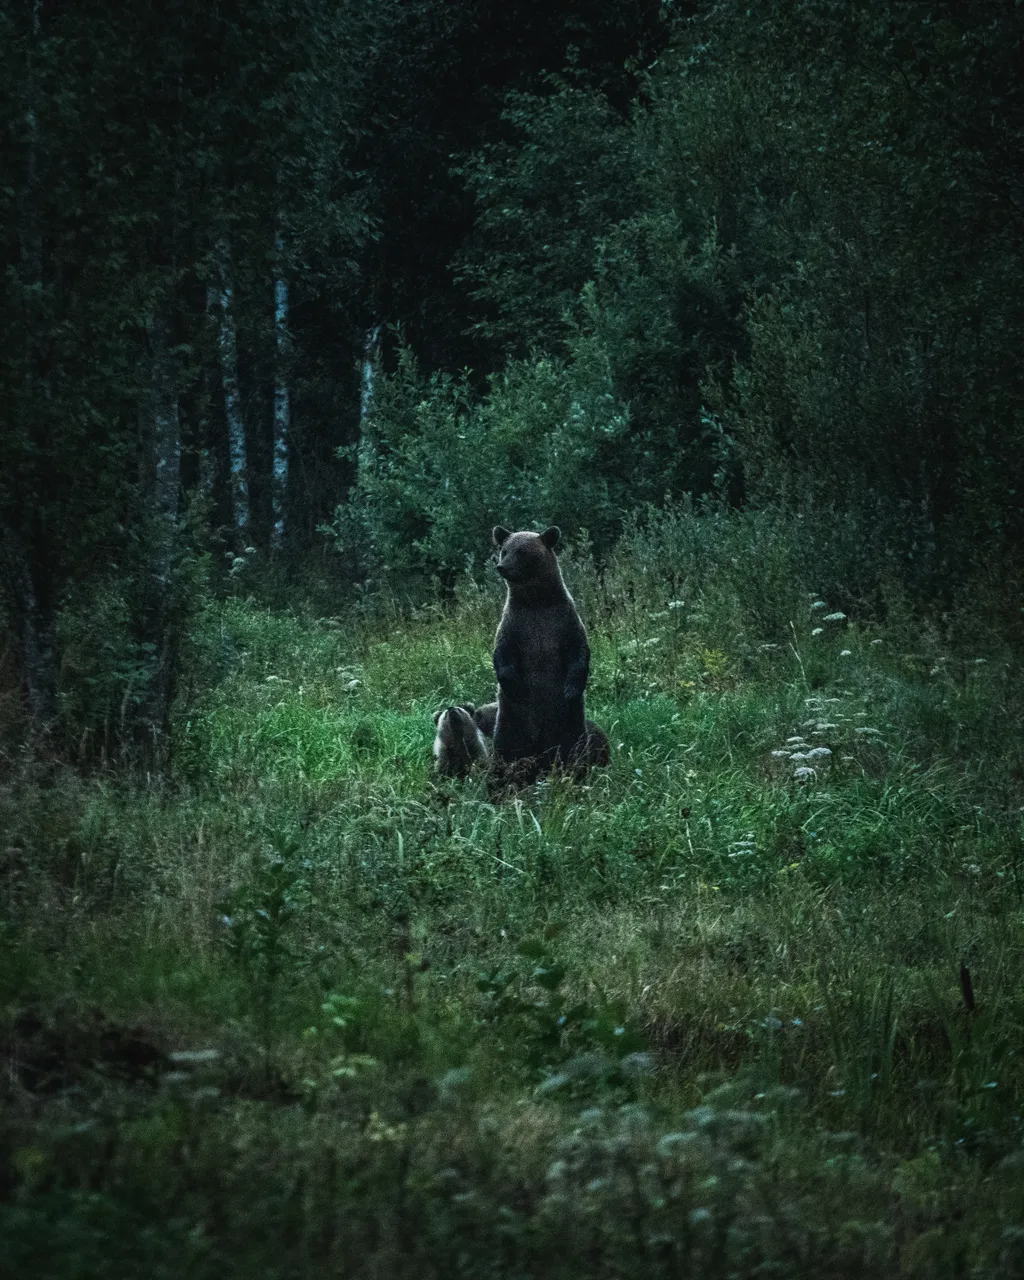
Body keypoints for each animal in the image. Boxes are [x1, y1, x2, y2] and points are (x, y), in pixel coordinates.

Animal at [490, 525, 591, 783]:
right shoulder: (515, 626)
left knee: (573, 746)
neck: (536, 601)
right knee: (505, 750)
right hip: (511, 722)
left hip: (569, 722)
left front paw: (570, 690)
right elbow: (503, 655)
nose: (502, 567)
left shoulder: (564, 623)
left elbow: (578, 653)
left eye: (523, 552)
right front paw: (515, 686)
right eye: (504, 550)